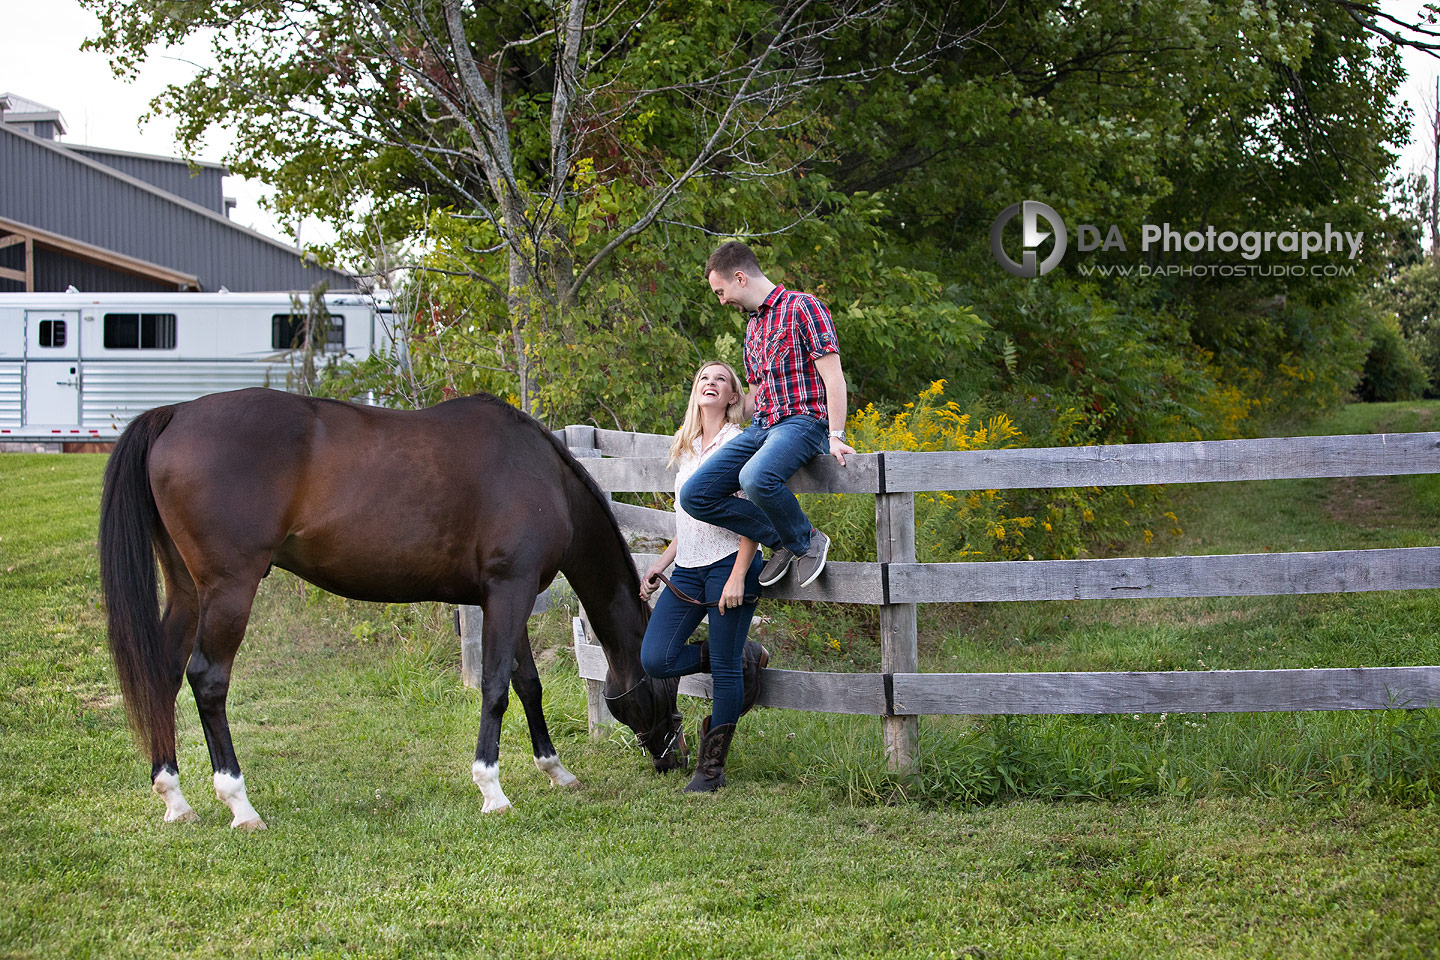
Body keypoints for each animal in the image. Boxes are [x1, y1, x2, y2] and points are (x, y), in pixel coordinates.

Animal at [100, 388, 685, 829]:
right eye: (670, 680)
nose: (674, 757)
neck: (546, 478)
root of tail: (175, 414)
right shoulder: (510, 590)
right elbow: (496, 687)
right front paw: (492, 789)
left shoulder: (503, 594)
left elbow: (526, 683)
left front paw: (555, 770)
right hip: (228, 589)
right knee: (207, 679)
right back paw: (240, 804)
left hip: (187, 590)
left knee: (164, 672)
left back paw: (175, 797)